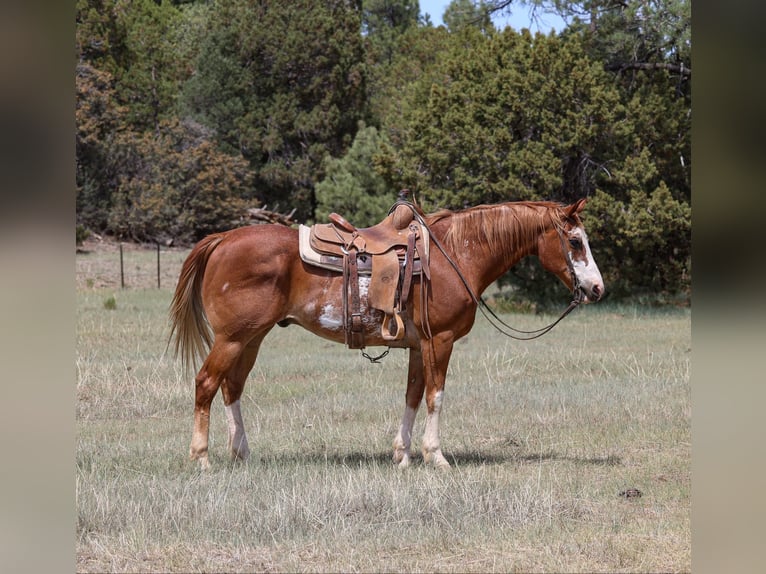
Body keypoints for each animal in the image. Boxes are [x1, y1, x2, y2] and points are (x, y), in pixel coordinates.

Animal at [169, 199, 604, 469]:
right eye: (575, 241)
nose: (597, 288)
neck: (456, 254)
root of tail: (222, 239)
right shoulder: (440, 340)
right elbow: (435, 396)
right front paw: (436, 456)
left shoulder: (417, 345)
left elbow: (412, 395)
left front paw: (403, 455)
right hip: (232, 338)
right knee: (207, 383)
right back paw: (201, 457)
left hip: (251, 338)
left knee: (232, 387)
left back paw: (241, 453)